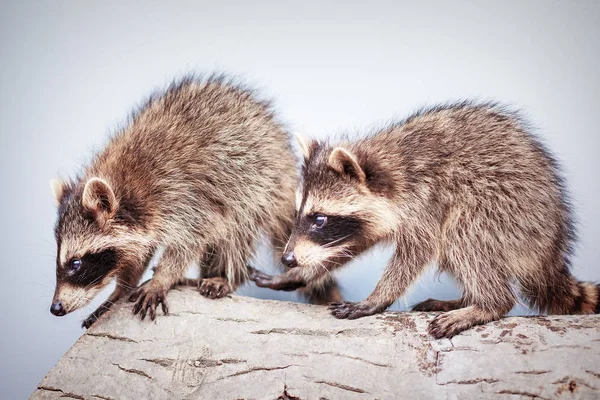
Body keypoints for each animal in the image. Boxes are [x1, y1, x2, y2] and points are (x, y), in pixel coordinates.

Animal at [49, 75, 340, 328]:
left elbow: (188, 242)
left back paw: (227, 276)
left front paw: (162, 279)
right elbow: (138, 253)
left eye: (75, 264)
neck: (124, 188)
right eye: (60, 260)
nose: (55, 308)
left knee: (235, 233)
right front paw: (120, 290)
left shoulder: (182, 196)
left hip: (259, 185)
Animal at [251, 102, 596, 338]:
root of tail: (550, 252)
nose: (289, 258)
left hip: (509, 212)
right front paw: (300, 273)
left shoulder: (425, 199)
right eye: (299, 214)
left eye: (319, 219)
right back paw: (466, 299)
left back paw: (488, 303)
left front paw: (378, 297)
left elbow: (417, 252)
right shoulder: (367, 222)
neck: (386, 172)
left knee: (464, 233)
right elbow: (346, 245)